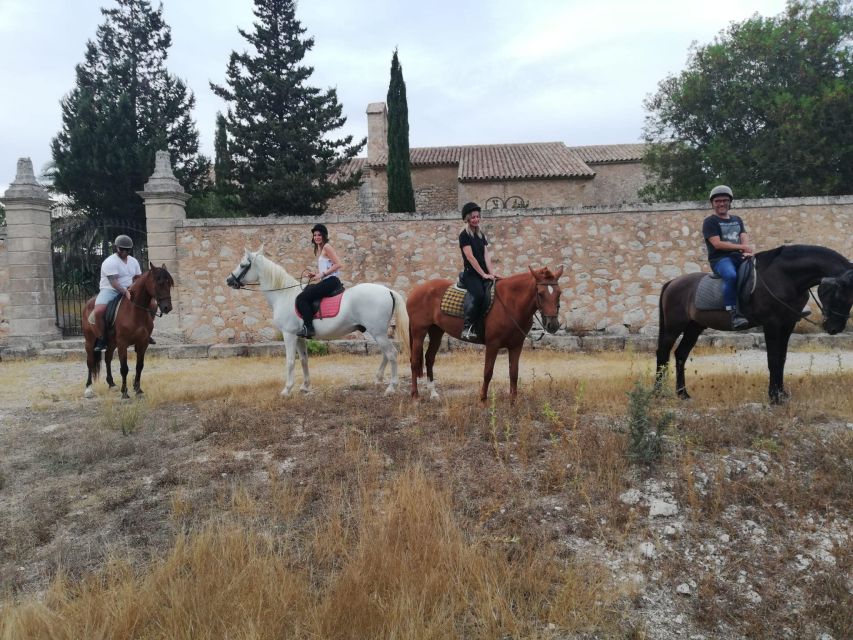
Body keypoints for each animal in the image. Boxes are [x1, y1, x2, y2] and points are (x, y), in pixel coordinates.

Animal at [82, 264, 175, 400]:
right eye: (159, 283)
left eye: (169, 283)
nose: (167, 308)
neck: (135, 310)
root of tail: (88, 303)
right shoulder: (123, 343)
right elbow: (124, 368)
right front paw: (125, 392)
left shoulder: (142, 343)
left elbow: (139, 366)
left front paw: (138, 390)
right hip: (90, 341)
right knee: (90, 362)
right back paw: (88, 389)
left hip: (112, 343)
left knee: (108, 358)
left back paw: (111, 384)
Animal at [225, 246, 412, 392]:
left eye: (243, 265)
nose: (229, 280)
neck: (284, 295)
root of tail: (387, 290)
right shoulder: (300, 337)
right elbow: (304, 360)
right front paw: (305, 387)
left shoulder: (289, 335)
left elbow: (290, 361)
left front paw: (287, 389)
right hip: (375, 332)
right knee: (386, 354)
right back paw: (378, 379)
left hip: (377, 332)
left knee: (392, 354)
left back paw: (391, 387)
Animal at [408, 268, 564, 402]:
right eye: (540, 293)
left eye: (559, 293)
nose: (553, 325)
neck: (510, 303)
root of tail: (417, 289)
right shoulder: (492, 345)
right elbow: (488, 372)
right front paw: (483, 400)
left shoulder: (516, 346)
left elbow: (514, 373)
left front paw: (513, 401)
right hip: (419, 332)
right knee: (415, 361)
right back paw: (415, 395)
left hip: (436, 331)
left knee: (429, 358)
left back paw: (433, 393)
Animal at [656, 246, 848, 404]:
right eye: (840, 293)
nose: (835, 328)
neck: (784, 277)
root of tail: (672, 283)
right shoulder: (772, 324)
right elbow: (773, 360)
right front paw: (774, 397)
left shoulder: (788, 325)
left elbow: (782, 359)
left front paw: (782, 394)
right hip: (674, 326)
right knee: (663, 353)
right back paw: (659, 393)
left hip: (694, 327)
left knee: (680, 355)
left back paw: (683, 394)